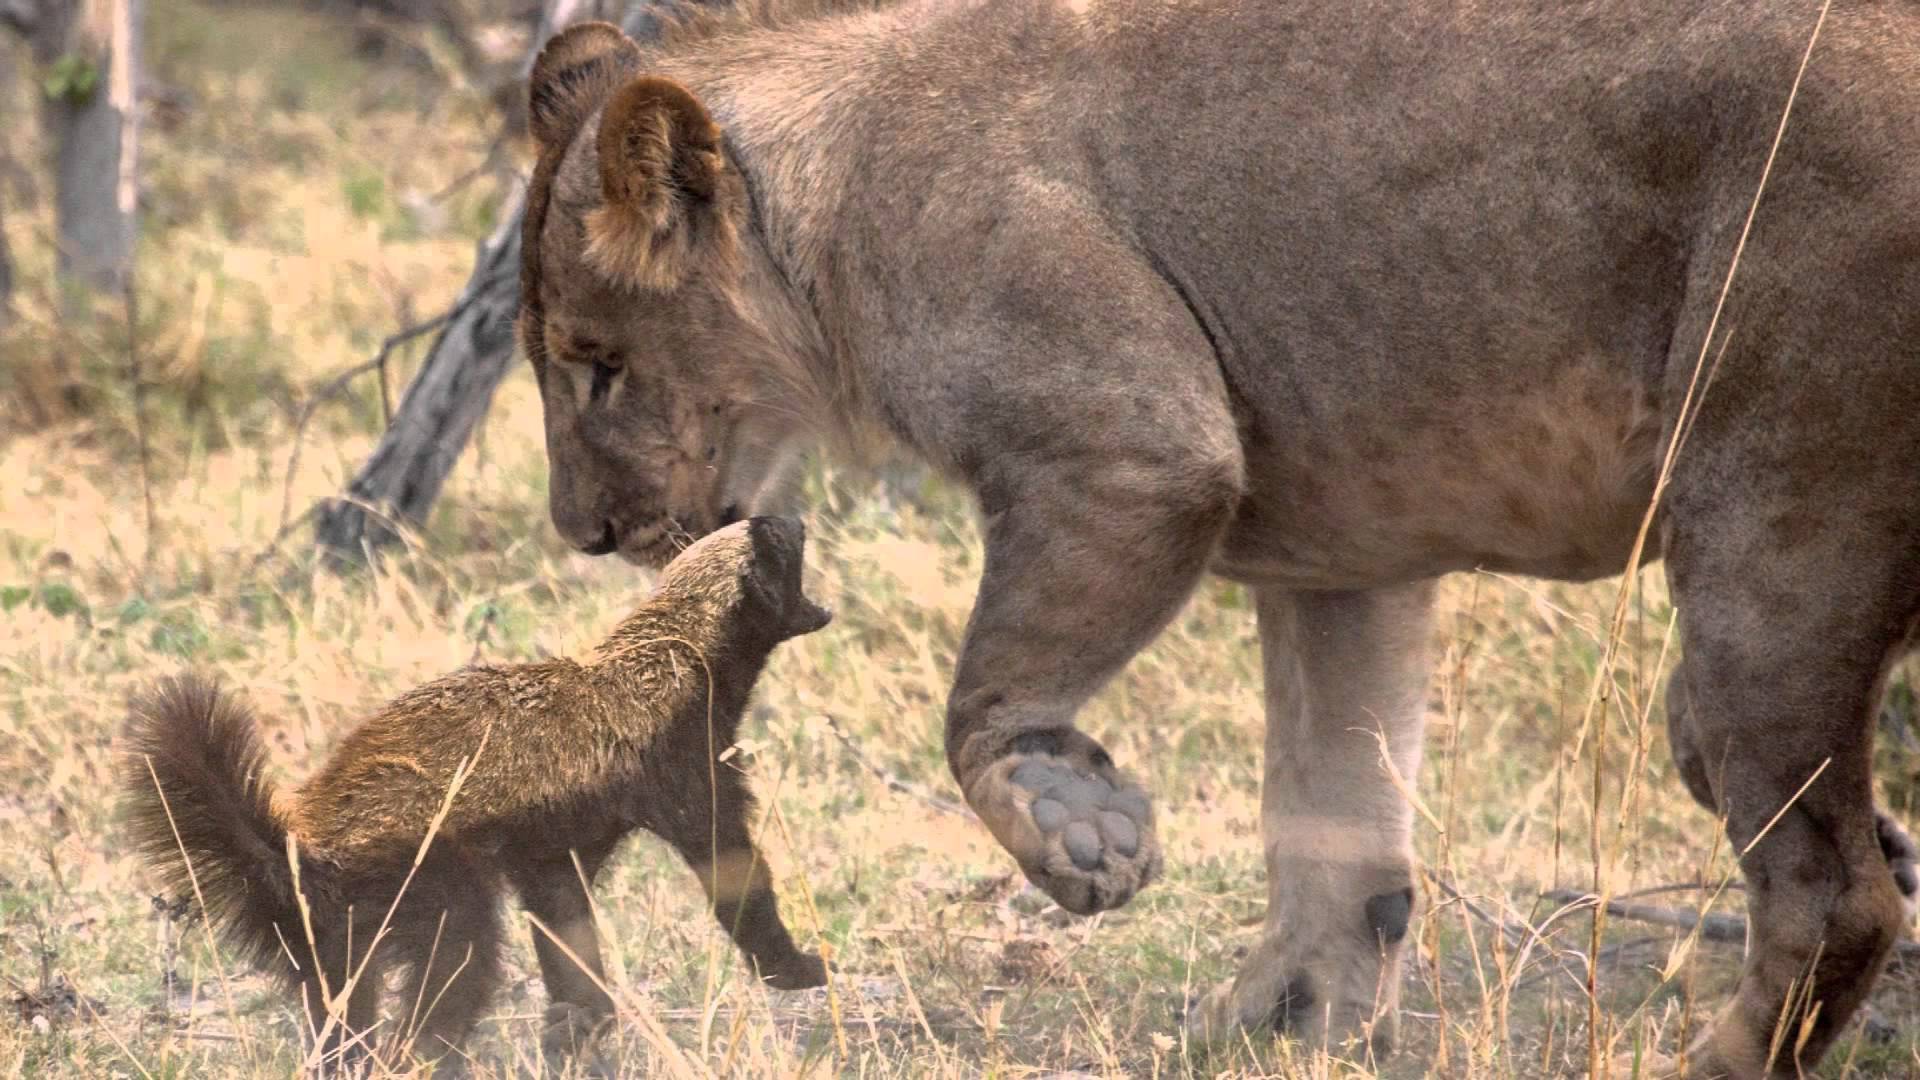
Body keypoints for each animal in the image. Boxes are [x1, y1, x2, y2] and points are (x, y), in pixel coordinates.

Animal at [125, 518, 833, 1060]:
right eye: (778, 542)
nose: (794, 515)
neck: (679, 650)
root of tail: (299, 850)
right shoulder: (684, 761)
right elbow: (731, 868)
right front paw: (798, 968)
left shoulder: (553, 843)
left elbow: (562, 918)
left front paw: (580, 1019)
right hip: (427, 874)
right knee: (454, 970)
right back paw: (425, 1056)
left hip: (333, 940)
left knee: (341, 1015)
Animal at [510, 4, 1920, 1068]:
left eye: (594, 365)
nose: (582, 531)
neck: (829, 224)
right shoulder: (1346, 558)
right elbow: (1331, 814)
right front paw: (1282, 1022)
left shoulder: (1136, 443)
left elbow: (982, 703)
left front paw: (1081, 833)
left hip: (1778, 519)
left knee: (1829, 889)